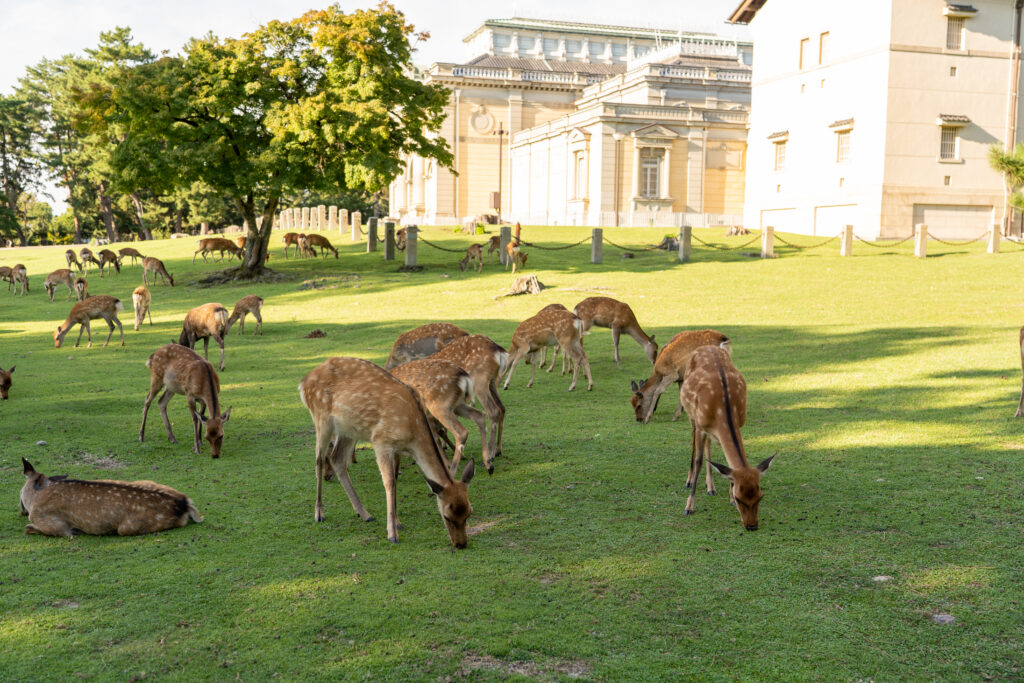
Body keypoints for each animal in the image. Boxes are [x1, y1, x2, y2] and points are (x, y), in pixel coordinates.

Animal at [19, 458, 201, 540]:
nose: (22, 511)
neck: (34, 498)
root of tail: (184, 503)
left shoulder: (57, 527)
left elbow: (28, 528)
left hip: (127, 528)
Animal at [299, 356, 477, 548]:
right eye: (447, 516)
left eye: (469, 512)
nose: (461, 544)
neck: (412, 431)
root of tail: (303, 383)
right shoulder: (381, 441)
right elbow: (389, 483)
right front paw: (392, 534)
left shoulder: (396, 448)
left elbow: (395, 480)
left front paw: (397, 523)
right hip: (321, 419)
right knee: (318, 459)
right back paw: (319, 513)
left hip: (348, 430)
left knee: (337, 459)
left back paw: (364, 514)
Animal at [430, 333, 509, 473]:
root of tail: (500, 351)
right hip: (492, 381)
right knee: (502, 407)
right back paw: (498, 450)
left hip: (479, 380)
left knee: (493, 411)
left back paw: (490, 457)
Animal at [679, 348, 774, 528]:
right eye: (739, 498)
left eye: (761, 496)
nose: (752, 526)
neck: (723, 409)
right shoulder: (701, 425)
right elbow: (699, 461)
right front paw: (689, 507)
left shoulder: (740, 422)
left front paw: (728, 498)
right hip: (691, 415)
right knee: (693, 441)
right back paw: (688, 481)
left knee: (708, 445)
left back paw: (711, 488)